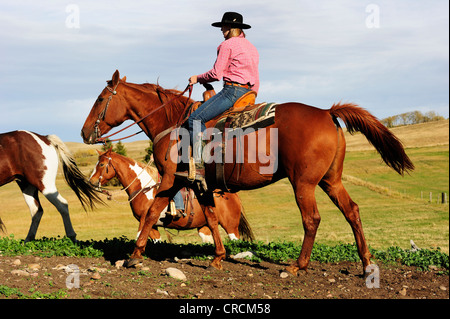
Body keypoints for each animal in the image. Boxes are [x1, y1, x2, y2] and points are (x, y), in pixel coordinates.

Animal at [88, 149, 253, 244]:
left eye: (101, 164)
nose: (91, 181)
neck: (145, 189)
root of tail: (231, 195)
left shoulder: (143, 221)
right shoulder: (153, 227)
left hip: (231, 227)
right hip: (204, 227)